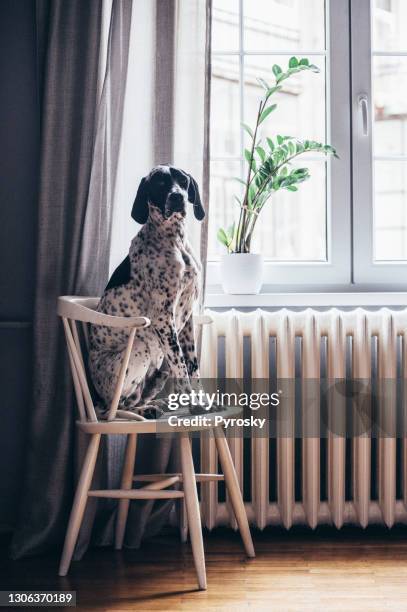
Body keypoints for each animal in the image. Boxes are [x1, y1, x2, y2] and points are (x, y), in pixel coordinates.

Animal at [87, 165, 206, 418]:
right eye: (159, 183)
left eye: (183, 180)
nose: (177, 197)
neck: (174, 240)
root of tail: (95, 396)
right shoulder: (163, 318)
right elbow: (181, 366)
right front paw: (193, 403)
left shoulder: (187, 318)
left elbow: (193, 365)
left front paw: (202, 399)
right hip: (139, 349)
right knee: (113, 408)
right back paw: (145, 410)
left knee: (135, 398)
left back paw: (154, 405)